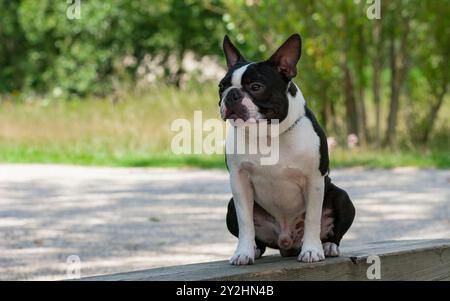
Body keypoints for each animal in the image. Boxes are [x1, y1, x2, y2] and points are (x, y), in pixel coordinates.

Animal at [218, 34, 356, 264]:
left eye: (256, 86)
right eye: (221, 87)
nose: (231, 94)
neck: (268, 135)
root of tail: (287, 242)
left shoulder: (314, 180)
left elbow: (312, 218)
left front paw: (312, 251)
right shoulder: (238, 180)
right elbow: (245, 221)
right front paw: (243, 252)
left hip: (343, 198)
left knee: (333, 230)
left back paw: (328, 246)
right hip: (230, 207)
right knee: (257, 237)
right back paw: (255, 249)